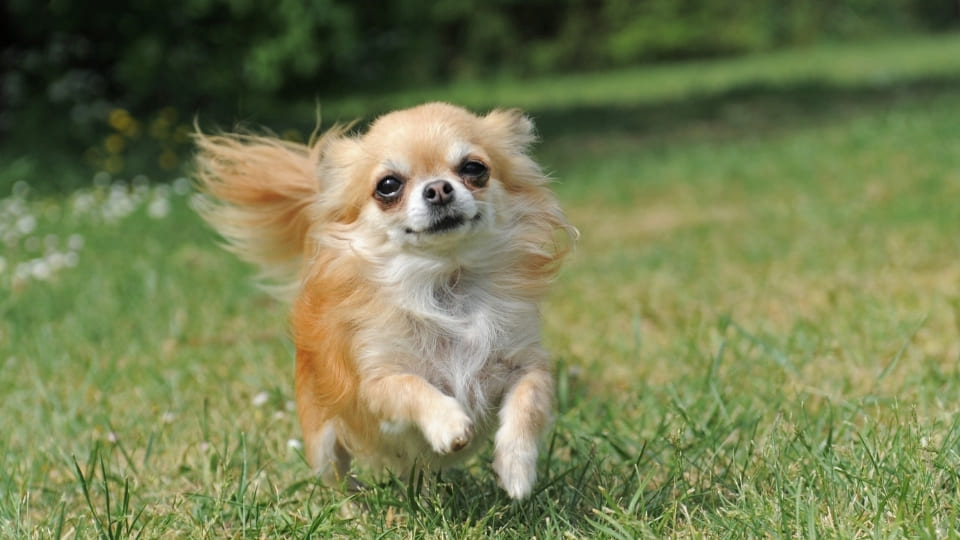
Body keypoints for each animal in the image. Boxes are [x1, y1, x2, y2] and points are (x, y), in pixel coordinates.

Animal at [191, 101, 572, 498]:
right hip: (322, 441)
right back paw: (357, 499)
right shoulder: (376, 383)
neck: (445, 282)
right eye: (388, 185)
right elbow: (412, 387)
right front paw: (449, 423)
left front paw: (516, 469)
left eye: (474, 168)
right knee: (335, 474)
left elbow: (528, 402)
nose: (438, 188)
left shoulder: (525, 364)